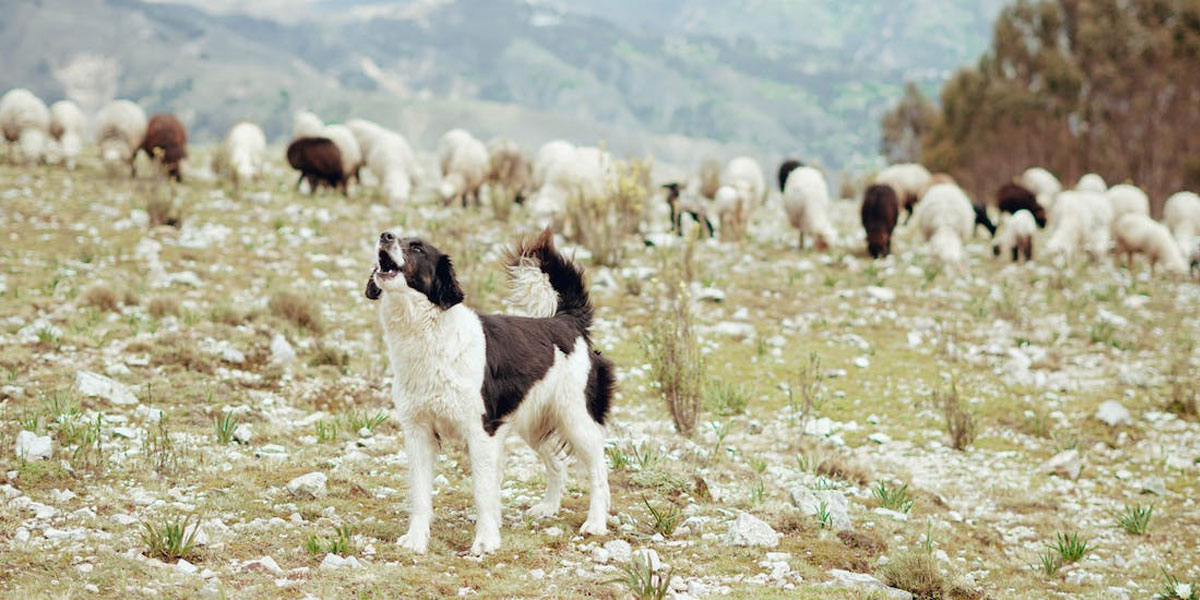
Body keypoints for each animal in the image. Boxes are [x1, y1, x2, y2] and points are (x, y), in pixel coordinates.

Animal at [364, 228, 614, 552]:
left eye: (417, 248)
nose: (385, 236)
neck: (430, 333)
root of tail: (566, 321)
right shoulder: (418, 432)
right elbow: (419, 494)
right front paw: (417, 539)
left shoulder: (481, 432)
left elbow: (483, 492)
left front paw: (485, 541)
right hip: (535, 422)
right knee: (557, 463)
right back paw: (549, 507)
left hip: (576, 420)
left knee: (599, 471)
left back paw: (596, 522)